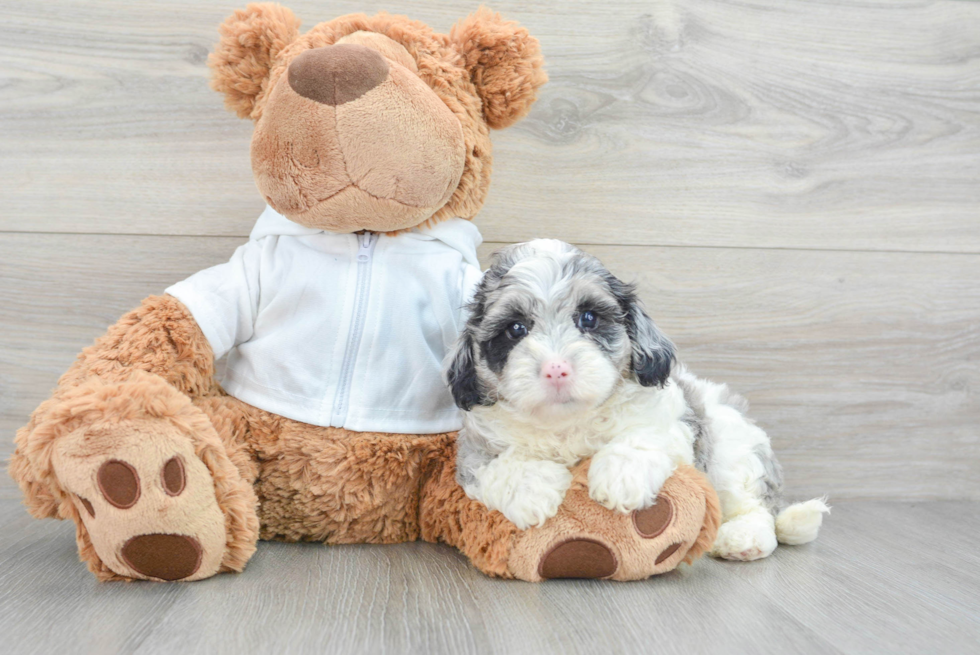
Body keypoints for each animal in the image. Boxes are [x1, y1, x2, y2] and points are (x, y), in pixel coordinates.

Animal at [448, 238, 832, 560]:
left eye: (589, 318)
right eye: (515, 329)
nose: (557, 369)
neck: (568, 424)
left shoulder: (674, 420)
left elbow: (643, 435)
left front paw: (621, 476)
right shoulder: (473, 450)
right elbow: (495, 466)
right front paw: (534, 489)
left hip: (735, 453)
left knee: (754, 506)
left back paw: (743, 539)